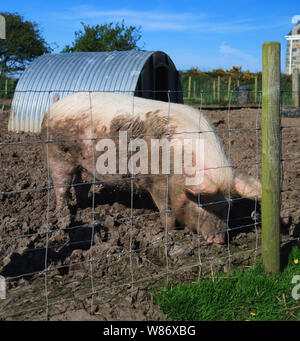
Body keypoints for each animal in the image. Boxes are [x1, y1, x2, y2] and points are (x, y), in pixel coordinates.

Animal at [41, 91, 262, 243]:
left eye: (228, 206)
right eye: (201, 203)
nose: (218, 240)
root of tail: (55, 104)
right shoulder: (157, 182)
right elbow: (166, 211)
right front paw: (169, 233)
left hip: (83, 164)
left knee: (81, 185)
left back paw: (87, 207)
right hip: (56, 154)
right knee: (61, 186)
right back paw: (63, 216)